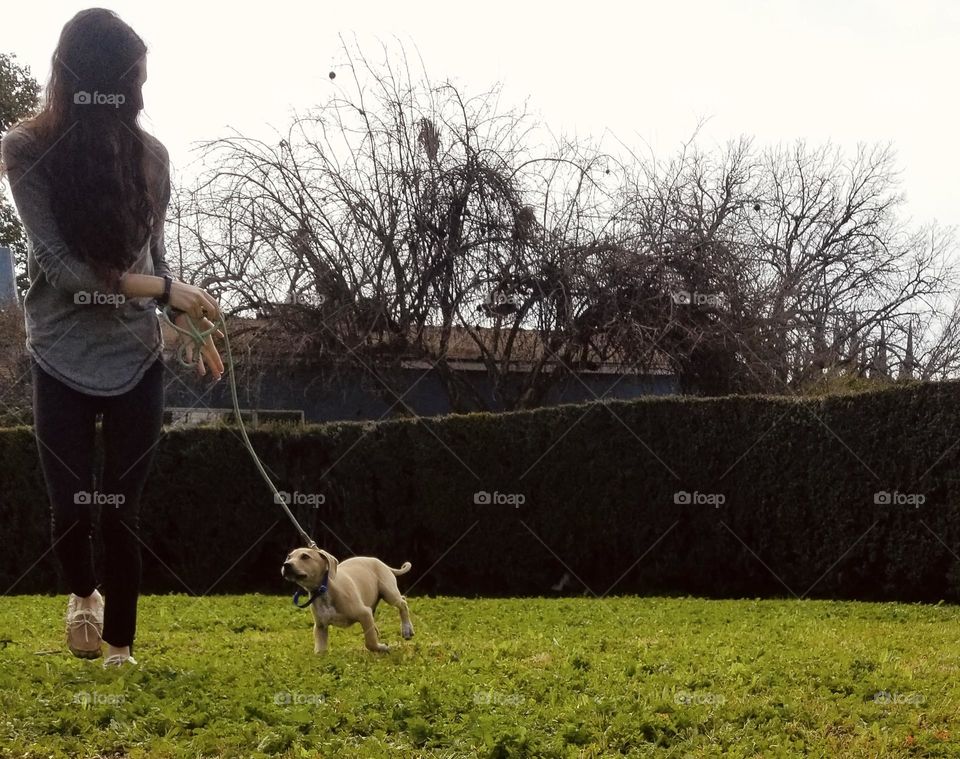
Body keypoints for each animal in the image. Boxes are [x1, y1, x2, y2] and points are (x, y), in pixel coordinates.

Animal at [278, 548, 412, 652]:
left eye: (305, 556)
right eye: (289, 556)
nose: (286, 564)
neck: (323, 591)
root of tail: (380, 562)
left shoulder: (364, 613)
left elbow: (370, 643)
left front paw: (382, 647)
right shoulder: (320, 626)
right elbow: (320, 651)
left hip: (389, 593)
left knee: (403, 603)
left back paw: (407, 629)